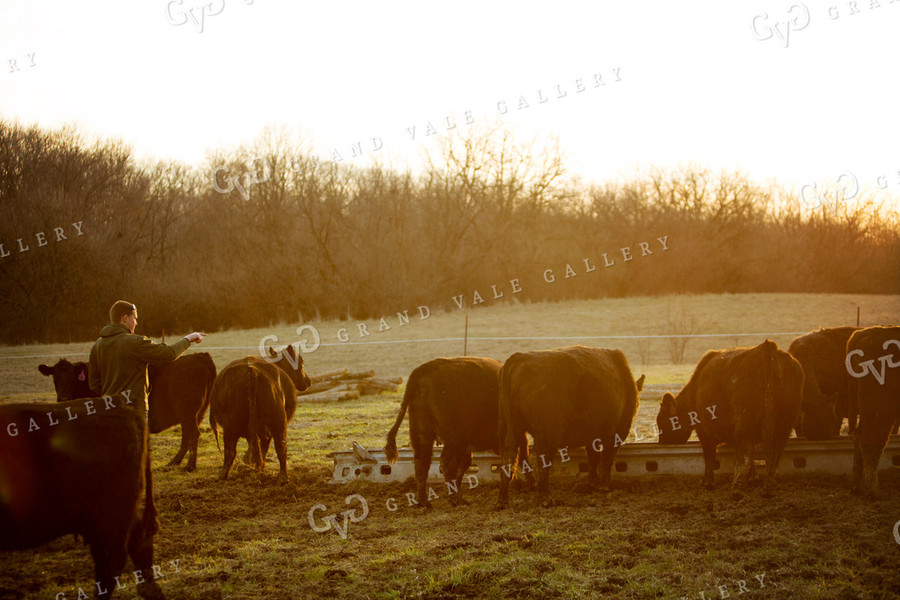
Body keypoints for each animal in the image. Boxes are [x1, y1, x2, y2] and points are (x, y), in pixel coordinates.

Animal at [384, 358, 502, 508]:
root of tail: (424, 369)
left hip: (424, 435)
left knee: (422, 463)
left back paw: (424, 501)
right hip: (452, 440)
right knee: (446, 463)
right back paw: (455, 499)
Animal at [496, 344, 644, 508]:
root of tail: (519, 358)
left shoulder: (592, 436)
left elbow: (593, 457)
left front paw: (591, 482)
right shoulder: (616, 433)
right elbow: (606, 458)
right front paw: (603, 485)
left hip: (511, 429)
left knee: (511, 455)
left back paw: (503, 500)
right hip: (548, 434)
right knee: (540, 460)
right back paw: (546, 498)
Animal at [652, 340, 800, 494]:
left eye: (662, 422)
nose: (662, 443)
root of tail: (767, 349)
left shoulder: (704, 430)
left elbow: (709, 454)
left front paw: (707, 482)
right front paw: (753, 477)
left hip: (744, 421)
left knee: (746, 452)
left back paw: (737, 489)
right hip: (784, 423)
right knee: (775, 451)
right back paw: (768, 487)